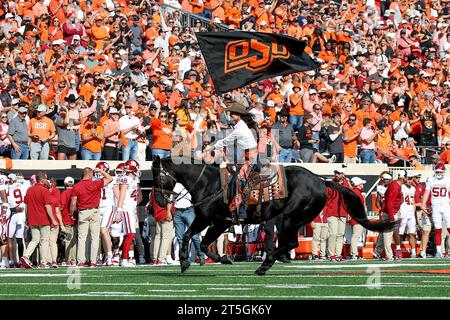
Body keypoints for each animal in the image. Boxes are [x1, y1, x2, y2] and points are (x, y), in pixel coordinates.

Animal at [152, 157, 398, 276]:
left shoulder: (216, 221)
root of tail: (321, 181)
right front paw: (196, 260)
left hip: (291, 217)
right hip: (295, 220)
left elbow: (196, 240)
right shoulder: (212, 221)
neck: (209, 184)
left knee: (290, 242)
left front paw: (202, 260)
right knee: (290, 242)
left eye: (157, 175)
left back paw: (264, 265)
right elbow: (195, 239)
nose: (161, 202)